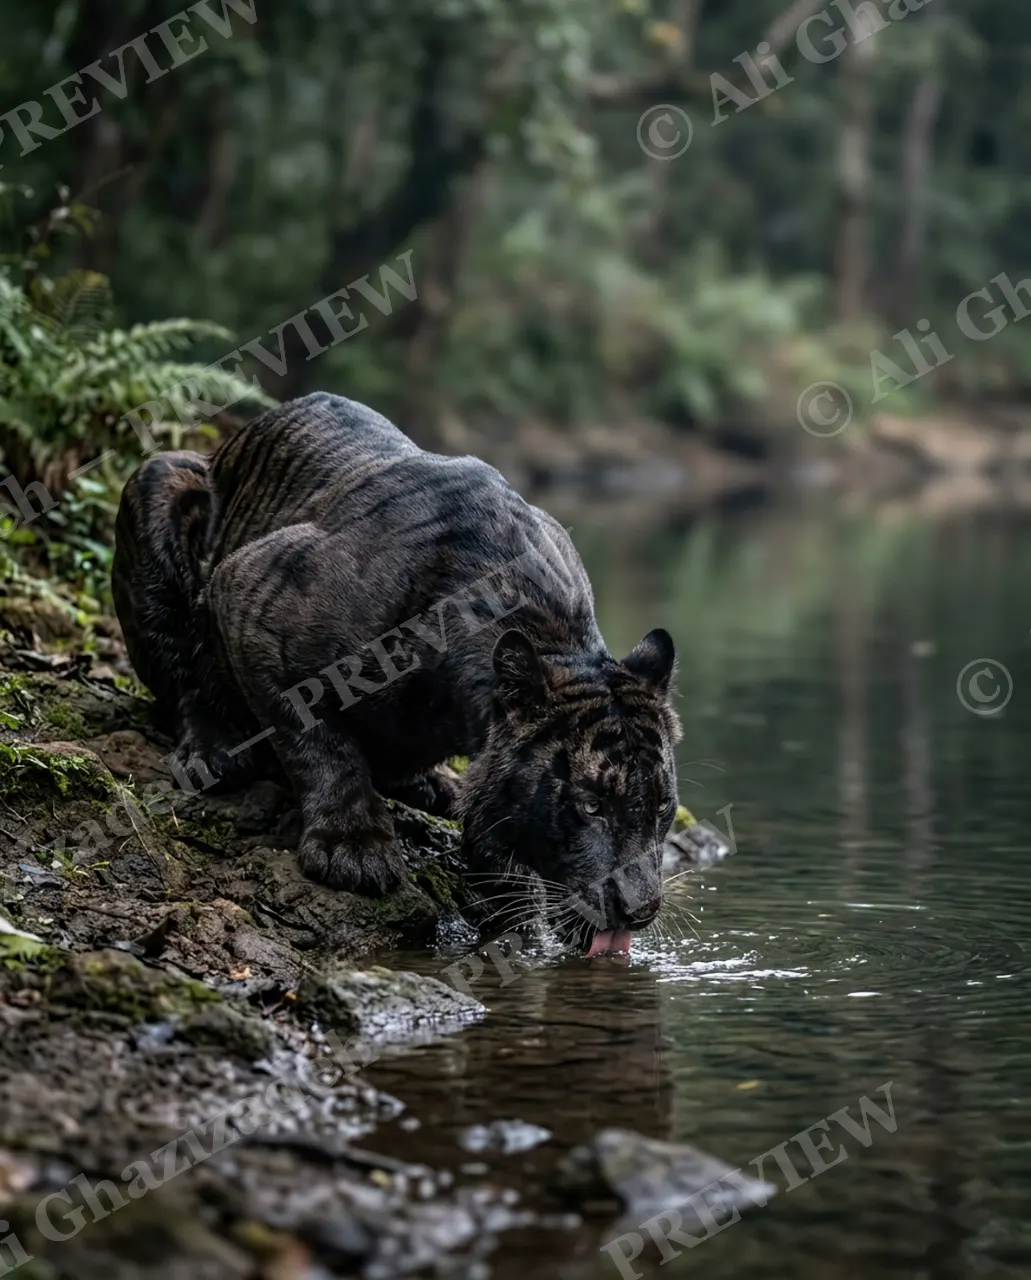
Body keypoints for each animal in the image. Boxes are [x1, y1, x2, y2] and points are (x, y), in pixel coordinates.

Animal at [113, 393, 682, 955]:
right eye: (590, 805)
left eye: (661, 806)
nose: (639, 908)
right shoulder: (249, 595)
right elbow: (318, 742)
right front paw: (353, 847)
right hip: (159, 481)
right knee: (184, 674)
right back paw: (215, 750)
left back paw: (436, 787)